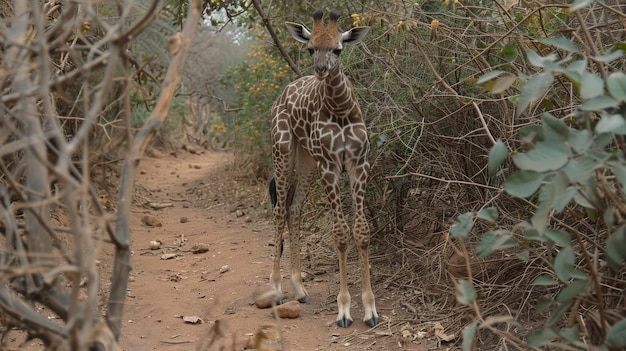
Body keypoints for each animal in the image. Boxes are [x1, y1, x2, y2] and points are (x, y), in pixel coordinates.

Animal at [266, 11, 378, 330]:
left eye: (338, 49)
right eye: (310, 48)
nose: (321, 69)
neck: (340, 109)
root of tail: (284, 93)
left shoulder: (358, 163)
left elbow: (361, 231)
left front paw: (370, 309)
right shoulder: (330, 166)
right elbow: (340, 234)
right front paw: (344, 309)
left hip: (307, 161)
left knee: (294, 208)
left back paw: (300, 288)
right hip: (283, 148)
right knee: (279, 210)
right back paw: (276, 288)